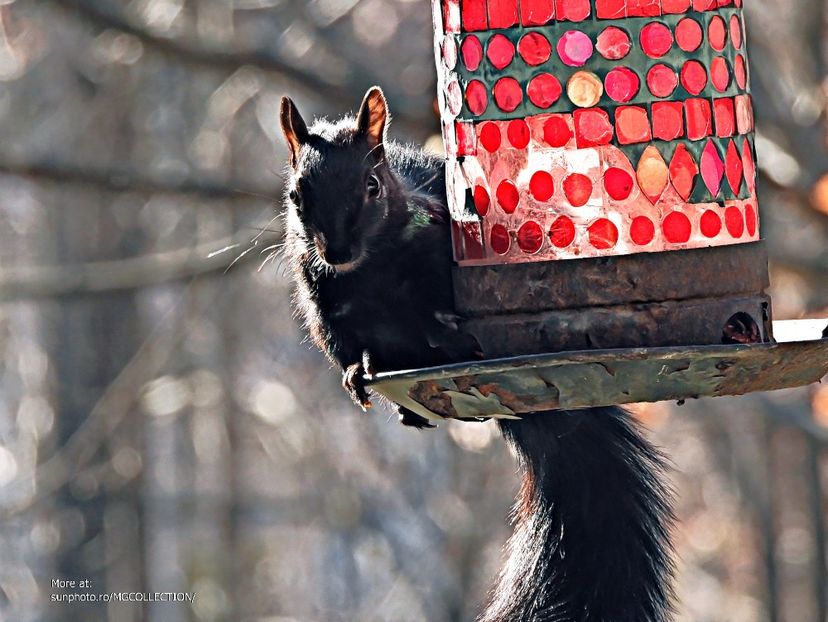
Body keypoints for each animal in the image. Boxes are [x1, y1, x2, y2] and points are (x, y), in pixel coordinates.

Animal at [280, 89, 680, 622]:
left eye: (372, 186)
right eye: (295, 196)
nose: (337, 252)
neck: (369, 271)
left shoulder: (435, 247)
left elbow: (433, 306)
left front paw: (441, 328)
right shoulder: (324, 302)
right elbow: (348, 348)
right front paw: (356, 375)